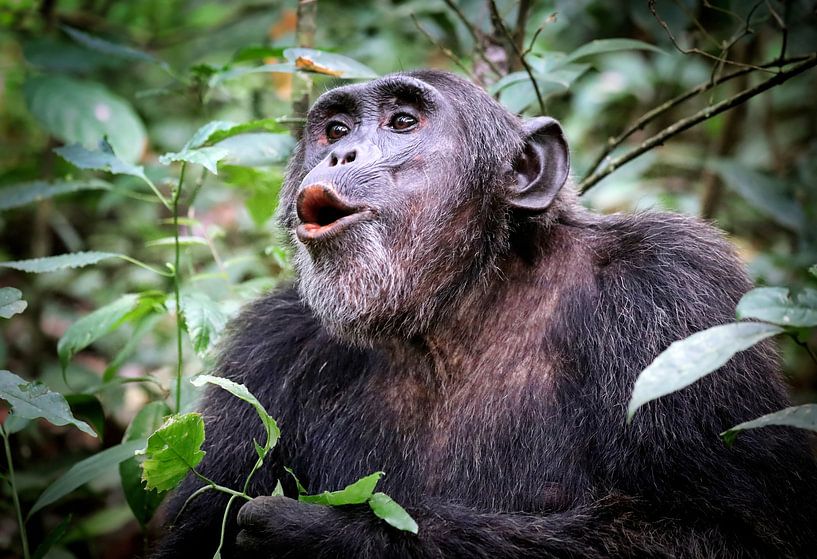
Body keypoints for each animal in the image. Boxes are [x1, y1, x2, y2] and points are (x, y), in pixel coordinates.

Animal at [152, 70, 817, 558]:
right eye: (335, 127)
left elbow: (719, 532)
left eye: (402, 122)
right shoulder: (267, 346)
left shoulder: (676, 291)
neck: (456, 307)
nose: (341, 152)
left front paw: (319, 535)